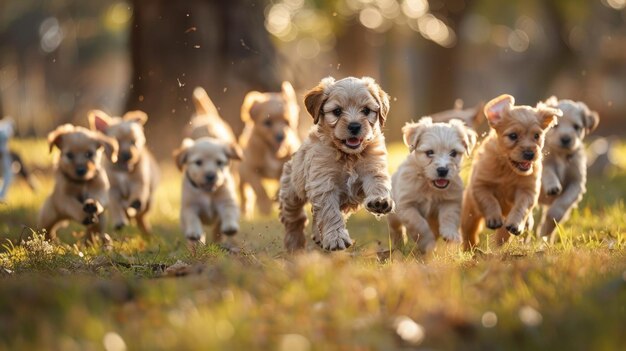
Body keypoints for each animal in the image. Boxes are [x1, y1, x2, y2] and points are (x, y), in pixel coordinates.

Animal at [236, 82, 300, 217]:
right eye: (267, 123)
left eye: (287, 122)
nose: (281, 137)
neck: (272, 152)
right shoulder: (250, 169)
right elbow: (259, 188)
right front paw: (265, 207)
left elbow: (281, 184)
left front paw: (276, 199)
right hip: (242, 174)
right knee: (244, 193)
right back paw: (245, 211)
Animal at [276, 77, 390, 253]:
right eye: (337, 111)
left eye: (366, 110)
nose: (354, 126)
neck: (349, 156)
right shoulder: (323, 183)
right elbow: (330, 212)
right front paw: (336, 238)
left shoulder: (373, 168)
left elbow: (378, 183)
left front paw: (380, 201)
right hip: (291, 189)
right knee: (294, 217)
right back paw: (295, 244)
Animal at [388, 117, 476, 253]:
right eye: (429, 152)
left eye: (453, 153)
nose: (443, 170)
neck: (429, 185)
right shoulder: (407, 206)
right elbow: (419, 224)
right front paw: (428, 243)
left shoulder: (450, 200)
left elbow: (449, 216)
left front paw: (450, 234)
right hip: (393, 214)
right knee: (395, 229)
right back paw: (399, 245)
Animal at [458, 94, 560, 250]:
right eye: (513, 136)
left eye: (536, 136)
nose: (529, 153)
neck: (508, 169)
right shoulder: (480, 184)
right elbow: (489, 200)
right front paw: (494, 218)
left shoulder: (528, 190)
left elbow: (521, 207)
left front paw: (515, 225)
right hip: (469, 213)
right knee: (469, 232)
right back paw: (471, 249)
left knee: (504, 235)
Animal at [532, 97, 596, 243]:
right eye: (555, 126)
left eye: (576, 127)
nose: (566, 139)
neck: (562, 155)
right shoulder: (544, 163)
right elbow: (548, 171)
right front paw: (553, 186)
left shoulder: (576, 183)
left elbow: (560, 206)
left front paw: (549, 223)